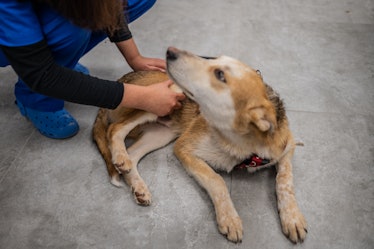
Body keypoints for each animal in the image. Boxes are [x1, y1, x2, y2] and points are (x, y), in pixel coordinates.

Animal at [91, 47, 306, 243]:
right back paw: (120, 156)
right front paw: (229, 218)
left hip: (161, 134)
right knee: (115, 129)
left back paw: (138, 186)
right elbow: (216, 180)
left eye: (220, 74)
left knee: (133, 154)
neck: (243, 144)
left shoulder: (286, 148)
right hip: (159, 99)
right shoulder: (184, 148)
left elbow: (285, 180)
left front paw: (292, 218)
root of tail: (120, 80)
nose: (170, 51)